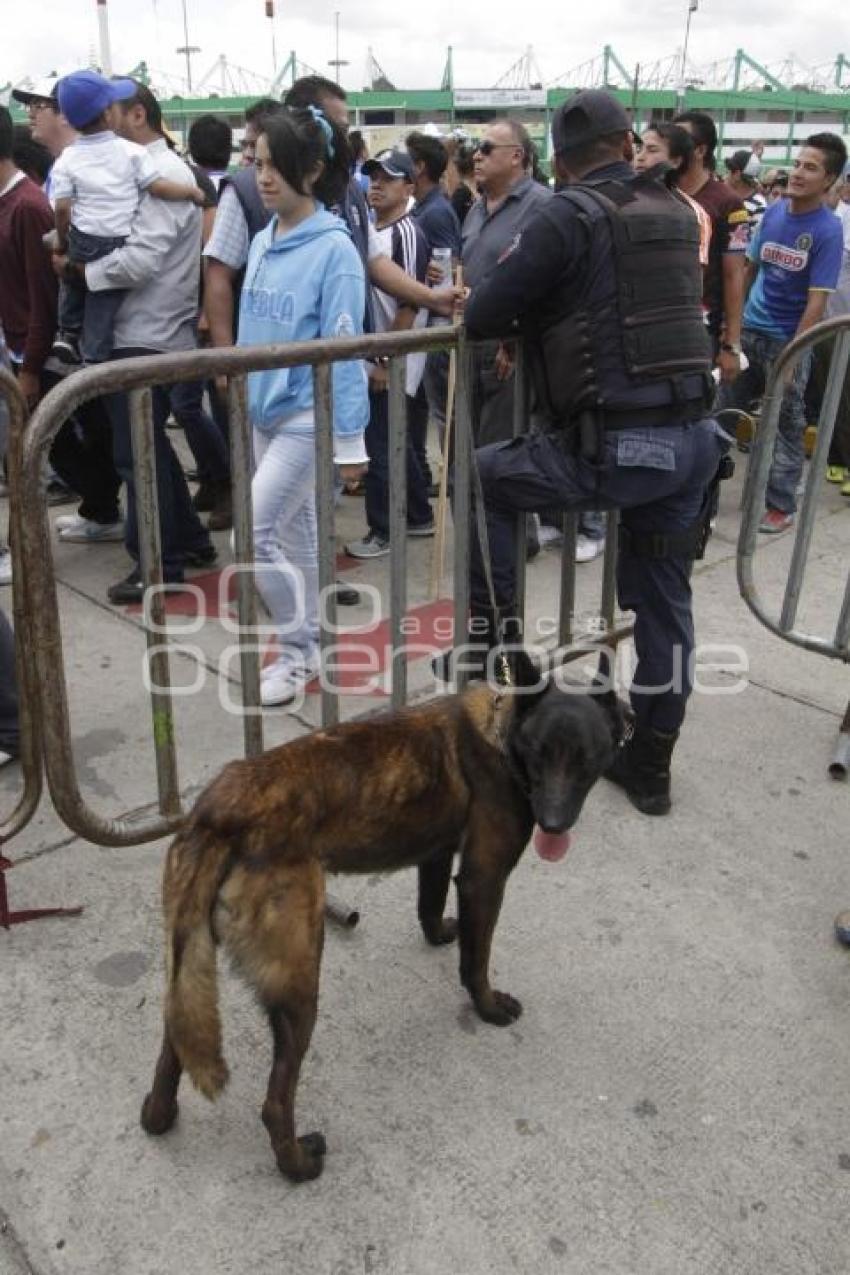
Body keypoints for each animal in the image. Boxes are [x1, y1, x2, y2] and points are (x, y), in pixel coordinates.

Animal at [141, 663, 619, 1178]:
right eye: (539, 753)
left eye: (586, 761)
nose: (553, 825)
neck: (501, 731)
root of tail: (216, 814)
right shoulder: (484, 878)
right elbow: (476, 961)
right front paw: (489, 1008)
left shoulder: (437, 853)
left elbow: (429, 905)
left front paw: (440, 934)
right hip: (298, 982)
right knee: (273, 1102)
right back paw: (297, 1164)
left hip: (192, 962)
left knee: (174, 1042)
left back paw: (160, 1114)